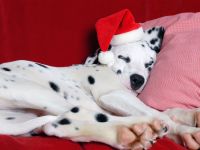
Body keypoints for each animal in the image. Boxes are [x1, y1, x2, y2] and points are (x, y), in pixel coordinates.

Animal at [0, 26, 198, 149]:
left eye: (149, 64)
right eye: (124, 58)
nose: (138, 79)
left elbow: (169, 111)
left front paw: (193, 115)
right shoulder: (113, 96)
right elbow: (161, 114)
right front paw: (185, 131)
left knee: (56, 125)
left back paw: (125, 134)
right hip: (40, 94)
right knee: (78, 115)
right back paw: (138, 127)